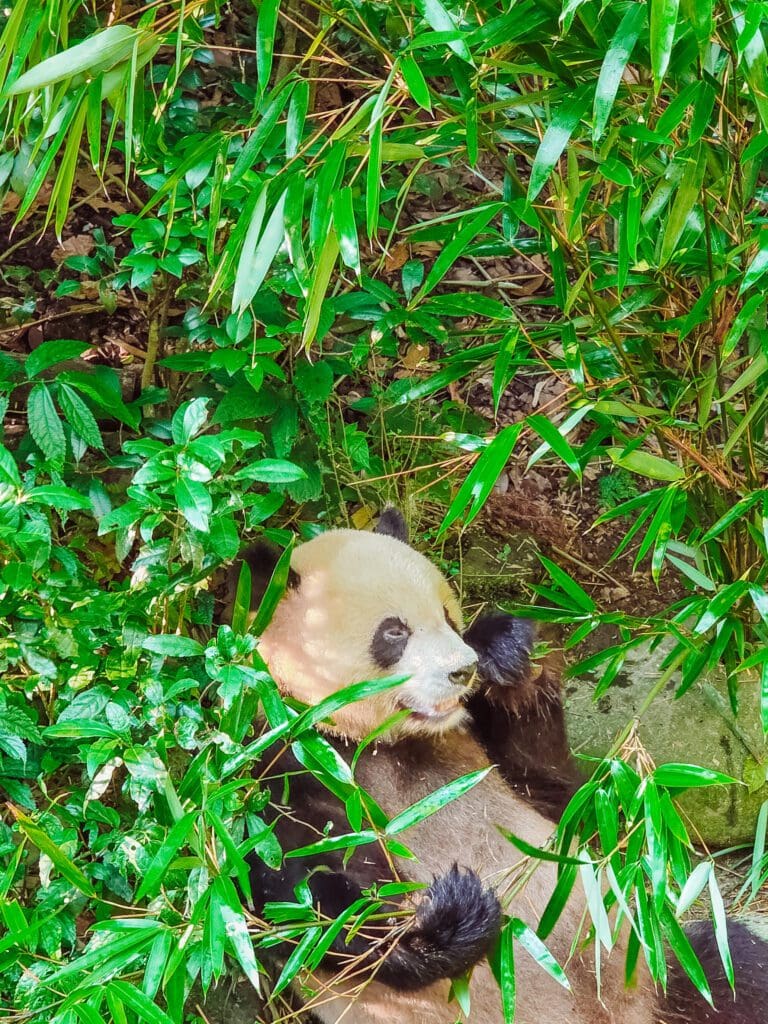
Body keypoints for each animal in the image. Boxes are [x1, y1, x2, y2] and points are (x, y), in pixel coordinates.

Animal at [230, 509, 768, 1024]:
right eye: (394, 632)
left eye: (448, 617)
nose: (462, 669)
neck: (383, 743)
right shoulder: (281, 767)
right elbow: (304, 907)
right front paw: (454, 916)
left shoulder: (481, 744)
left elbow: (564, 798)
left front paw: (504, 650)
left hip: (654, 971)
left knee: (734, 968)